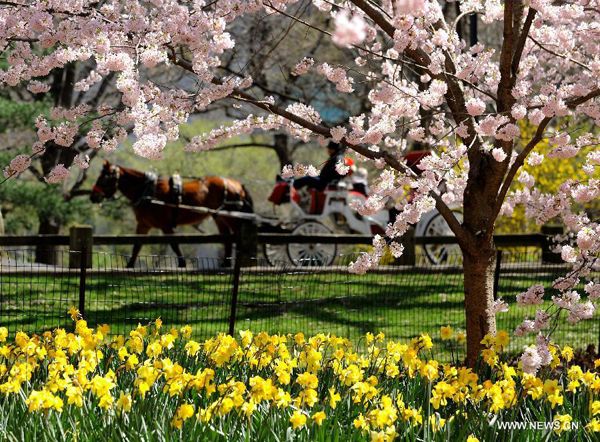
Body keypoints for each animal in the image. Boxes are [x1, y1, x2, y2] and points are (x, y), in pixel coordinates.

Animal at [90, 161, 254, 268]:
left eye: (104, 178)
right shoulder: (143, 225)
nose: (93, 197)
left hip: (231, 216)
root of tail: (237, 184)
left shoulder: (166, 226)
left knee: (238, 235)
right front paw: (129, 265)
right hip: (219, 216)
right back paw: (225, 263)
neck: (149, 192)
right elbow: (137, 245)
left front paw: (182, 263)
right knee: (227, 238)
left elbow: (174, 244)